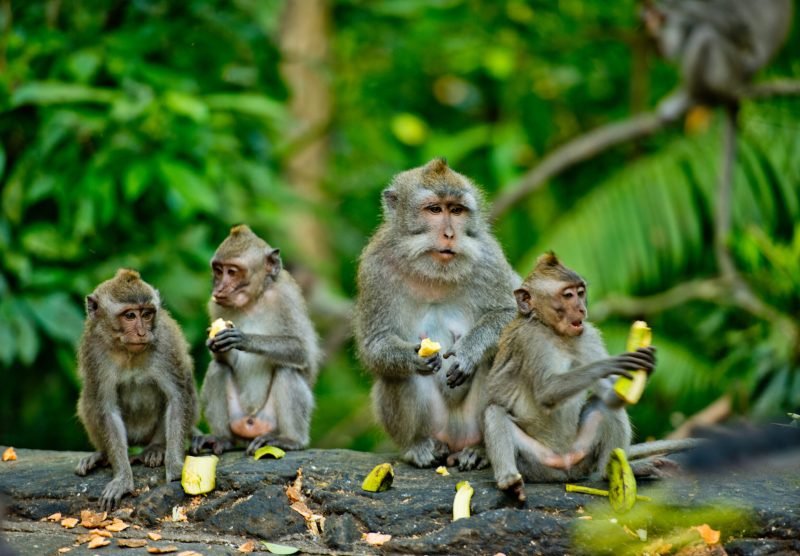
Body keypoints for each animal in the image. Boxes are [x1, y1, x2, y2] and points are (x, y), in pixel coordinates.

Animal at [75, 269, 198, 511]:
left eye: (147, 314)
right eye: (130, 316)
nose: (142, 332)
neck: (127, 351)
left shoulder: (165, 343)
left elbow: (177, 397)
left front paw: (175, 466)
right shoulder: (94, 350)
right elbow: (107, 409)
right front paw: (122, 478)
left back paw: (156, 448)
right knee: (89, 399)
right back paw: (101, 454)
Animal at [191, 225, 321, 456]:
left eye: (232, 272)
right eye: (218, 270)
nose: (219, 289)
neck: (253, 301)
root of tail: (251, 424)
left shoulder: (286, 297)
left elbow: (302, 351)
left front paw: (243, 338)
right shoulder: (215, 306)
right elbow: (222, 361)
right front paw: (214, 345)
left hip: (269, 420)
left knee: (287, 370)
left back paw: (290, 439)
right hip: (238, 419)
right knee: (218, 369)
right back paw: (222, 438)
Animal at [354, 157, 520, 470]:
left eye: (456, 210)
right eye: (434, 209)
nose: (450, 234)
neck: (434, 273)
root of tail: (455, 440)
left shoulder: (489, 258)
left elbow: (512, 315)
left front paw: (468, 351)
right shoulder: (375, 267)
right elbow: (375, 343)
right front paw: (412, 357)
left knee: (499, 356)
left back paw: (480, 450)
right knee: (394, 375)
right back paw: (418, 446)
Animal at [482, 253, 657, 501]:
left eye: (581, 292)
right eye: (567, 295)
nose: (582, 310)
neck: (554, 332)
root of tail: (564, 466)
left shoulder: (588, 335)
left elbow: (610, 398)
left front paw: (647, 365)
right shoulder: (530, 340)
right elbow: (547, 391)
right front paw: (609, 365)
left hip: (581, 453)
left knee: (603, 406)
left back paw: (610, 472)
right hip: (536, 462)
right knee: (494, 412)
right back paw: (509, 481)